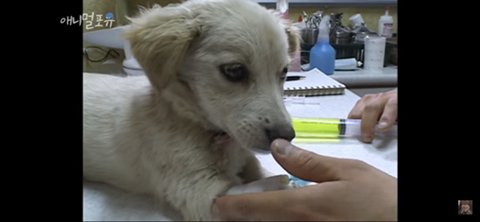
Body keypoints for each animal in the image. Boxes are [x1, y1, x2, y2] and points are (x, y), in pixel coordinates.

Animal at [83, 0, 300, 219]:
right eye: (234, 71)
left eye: (284, 72)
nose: (286, 136)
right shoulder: (199, 191)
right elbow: (251, 193)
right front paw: (281, 188)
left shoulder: (247, 160)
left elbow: (261, 173)